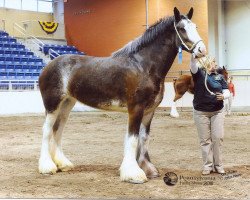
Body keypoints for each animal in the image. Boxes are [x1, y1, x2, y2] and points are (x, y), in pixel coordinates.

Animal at [38, 7, 206, 184]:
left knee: (58, 129)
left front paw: (148, 168)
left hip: (67, 103)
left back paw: (63, 164)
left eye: (195, 26)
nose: (202, 50)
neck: (144, 65)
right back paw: (47, 167)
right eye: (181, 28)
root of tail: (49, 66)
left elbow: (143, 138)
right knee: (47, 130)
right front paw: (133, 173)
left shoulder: (149, 111)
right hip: (52, 104)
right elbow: (132, 139)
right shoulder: (136, 109)